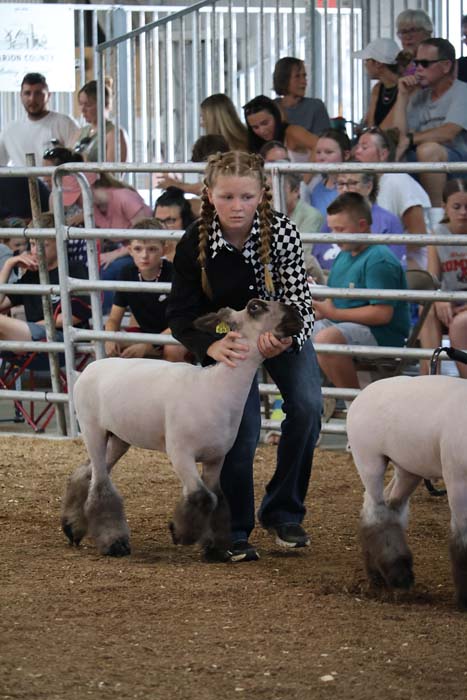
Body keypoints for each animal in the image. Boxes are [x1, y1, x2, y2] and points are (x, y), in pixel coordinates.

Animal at [61, 298, 302, 560]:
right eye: (255, 307)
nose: (299, 315)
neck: (217, 386)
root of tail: (90, 367)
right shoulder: (180, 452)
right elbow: (202, 497)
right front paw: (180, 533)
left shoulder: (216, 457)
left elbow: (217, 499)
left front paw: (216, 549)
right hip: (92, 428)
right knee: (99, 484)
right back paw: (114, 544)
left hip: (118, 437)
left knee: (85, 473)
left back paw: (72, 528)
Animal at [346, 374, 467, 609]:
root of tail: (364, 393)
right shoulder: (457, 480)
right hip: (369, 460)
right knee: (376, 512)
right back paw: (396, 576)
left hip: (408, 468)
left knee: (389, 506)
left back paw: (379, 574)